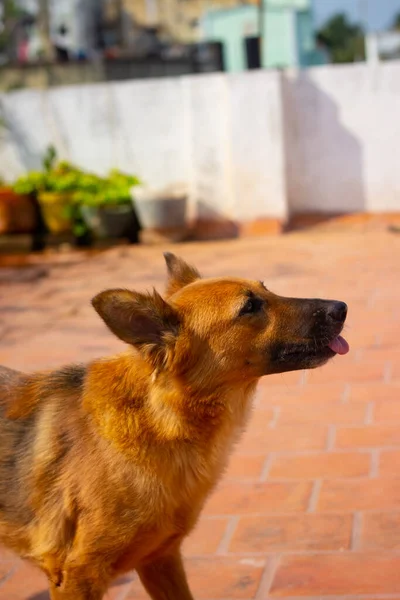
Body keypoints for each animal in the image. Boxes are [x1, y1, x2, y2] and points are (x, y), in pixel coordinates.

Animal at [0, 254, 346, 600]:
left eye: (266, 289)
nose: (341, 307)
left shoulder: (161, 558)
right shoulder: (77, 576)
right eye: (249, 307)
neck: (160, 421)